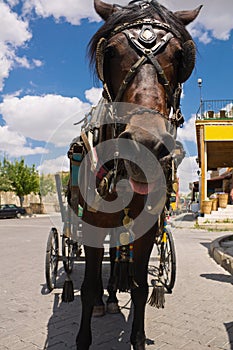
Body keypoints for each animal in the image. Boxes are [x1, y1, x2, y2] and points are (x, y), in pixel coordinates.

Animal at [68, 1, 201, 348]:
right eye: (111, 52)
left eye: (181, 56)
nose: (146, 144)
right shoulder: (94, 222)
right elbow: (88, 287)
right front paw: (84, 334)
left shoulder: (145, 228)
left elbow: (140, 288)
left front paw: (137, 337)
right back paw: (102, 302)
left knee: (117, 256)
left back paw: (114, 298)